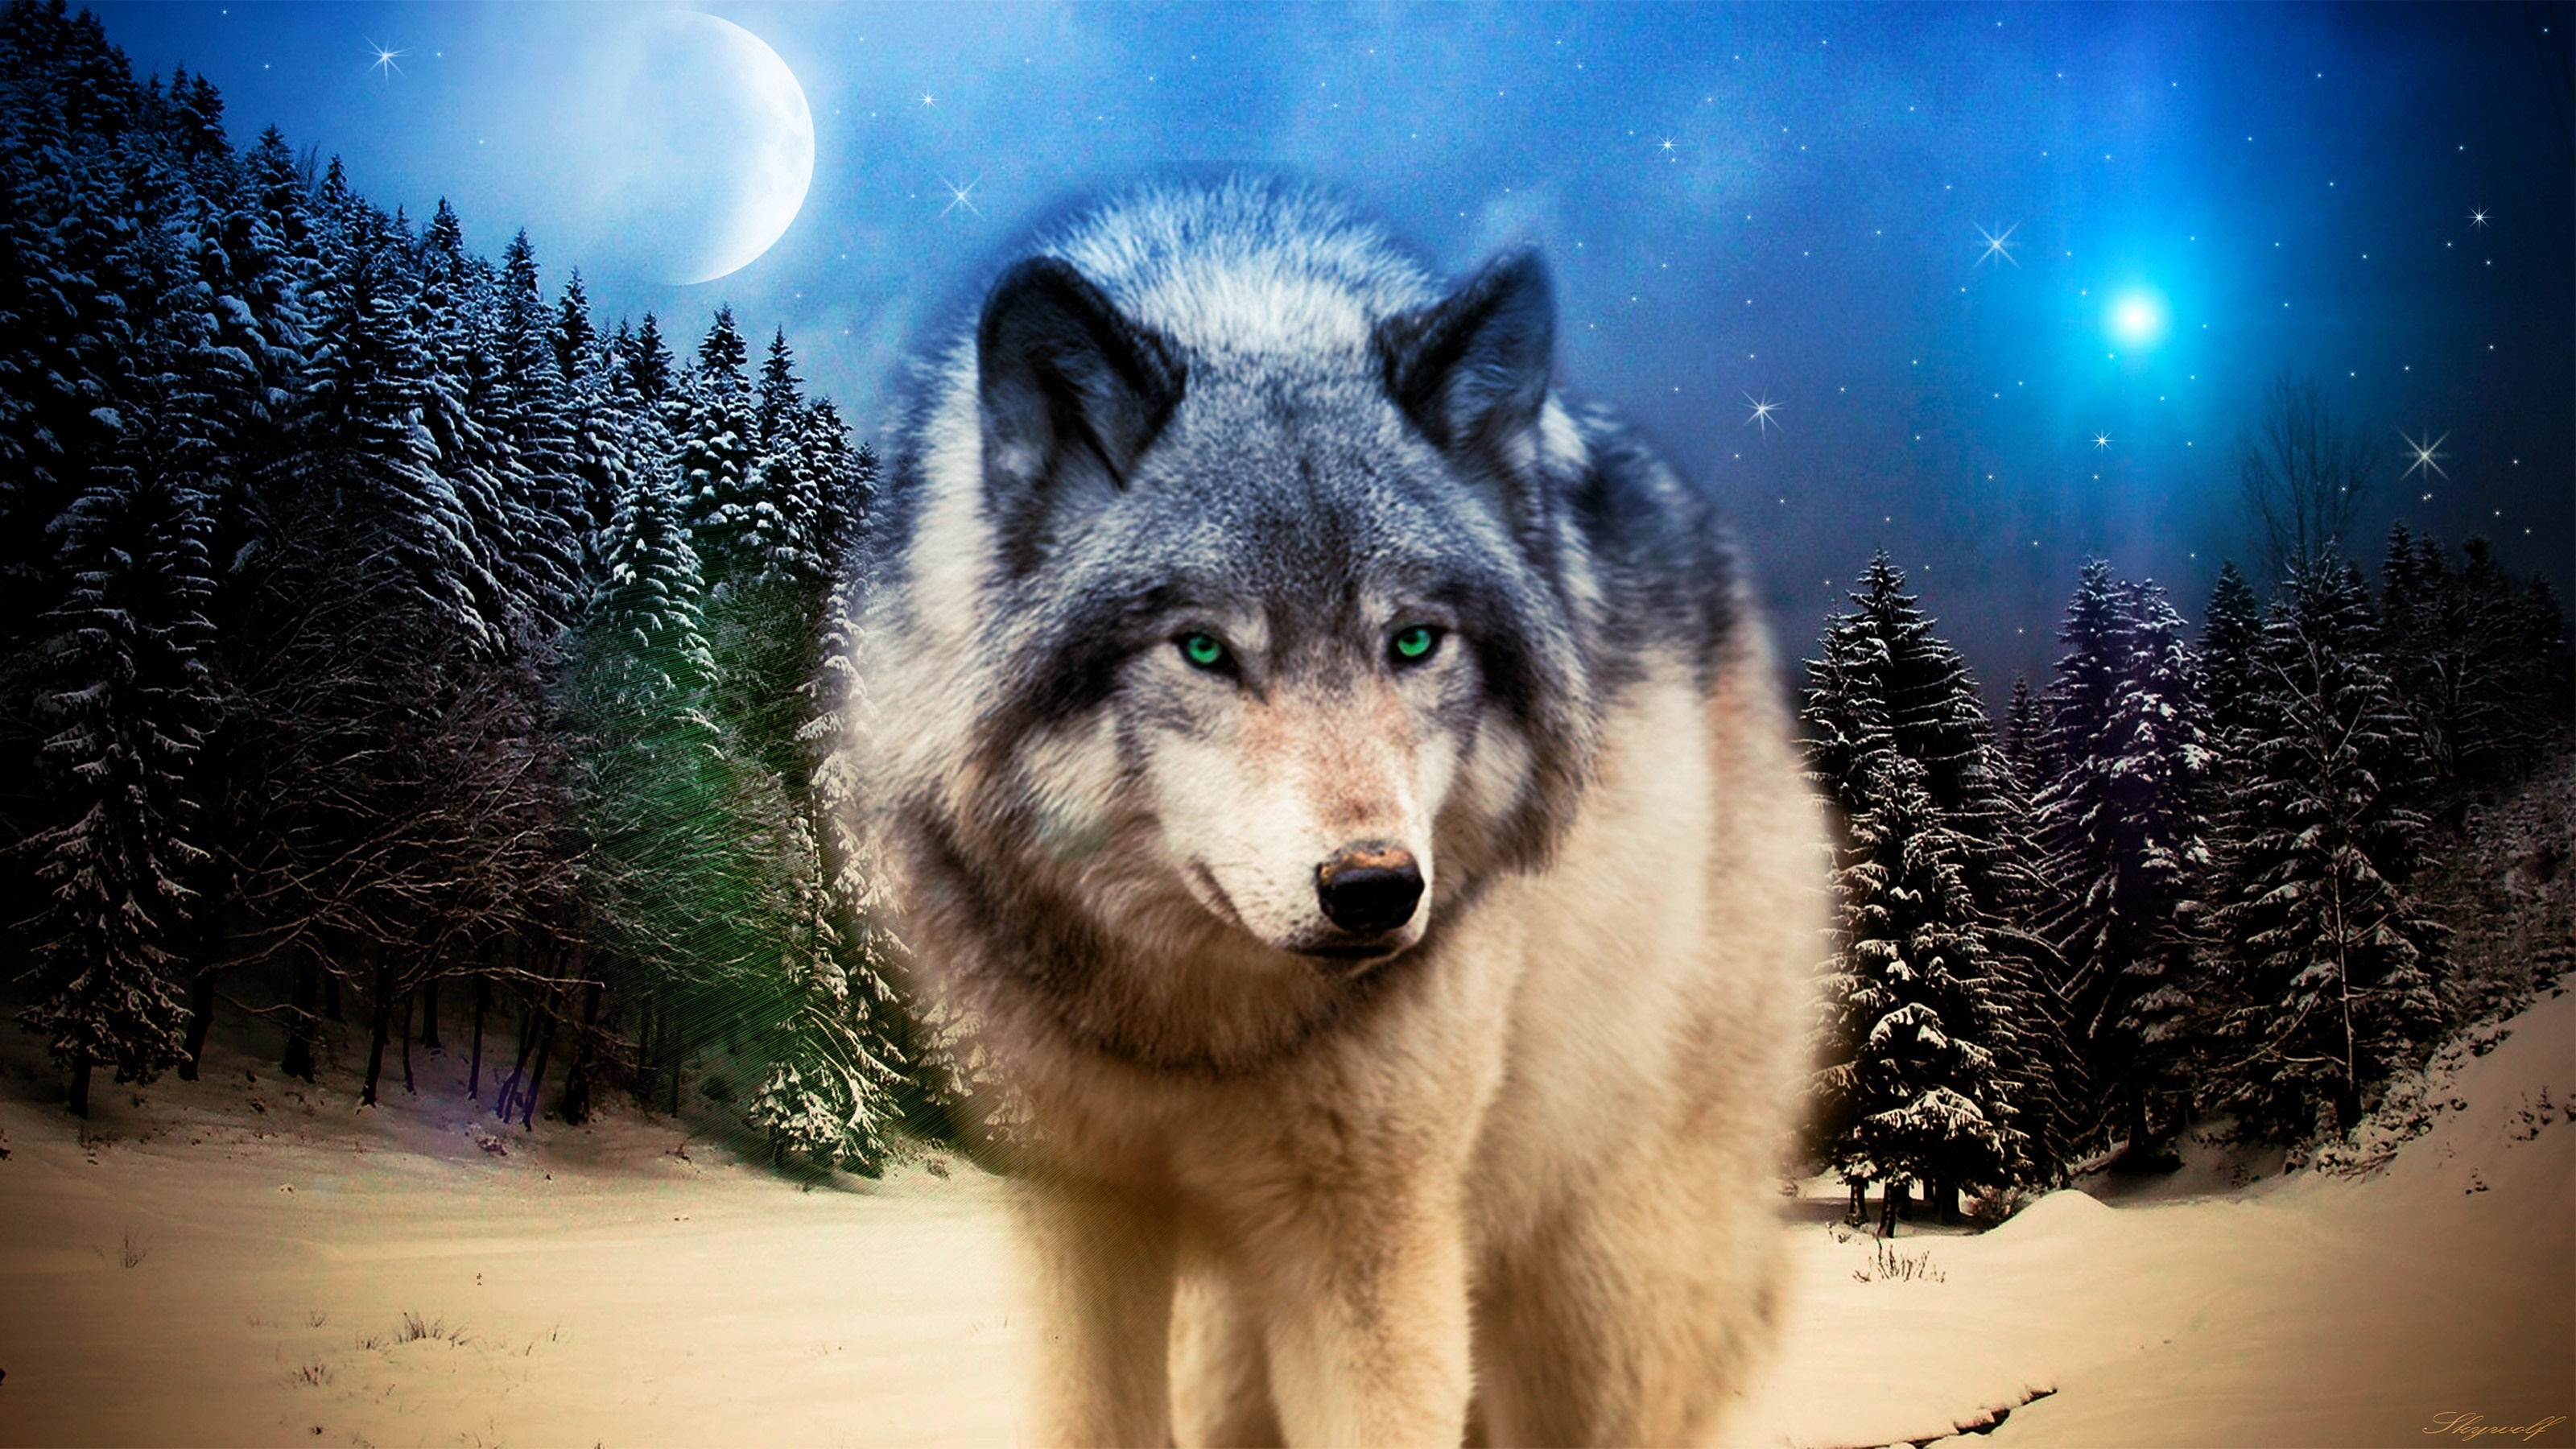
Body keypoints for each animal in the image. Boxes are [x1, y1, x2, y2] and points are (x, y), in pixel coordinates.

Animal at [842, 180, 1827, 1447]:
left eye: (1412, 641)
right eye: (1203, 649)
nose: (1374, 889)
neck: (1189, 1037)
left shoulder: (1371, 1242)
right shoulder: (1072, 1211)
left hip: (1598, 1288)